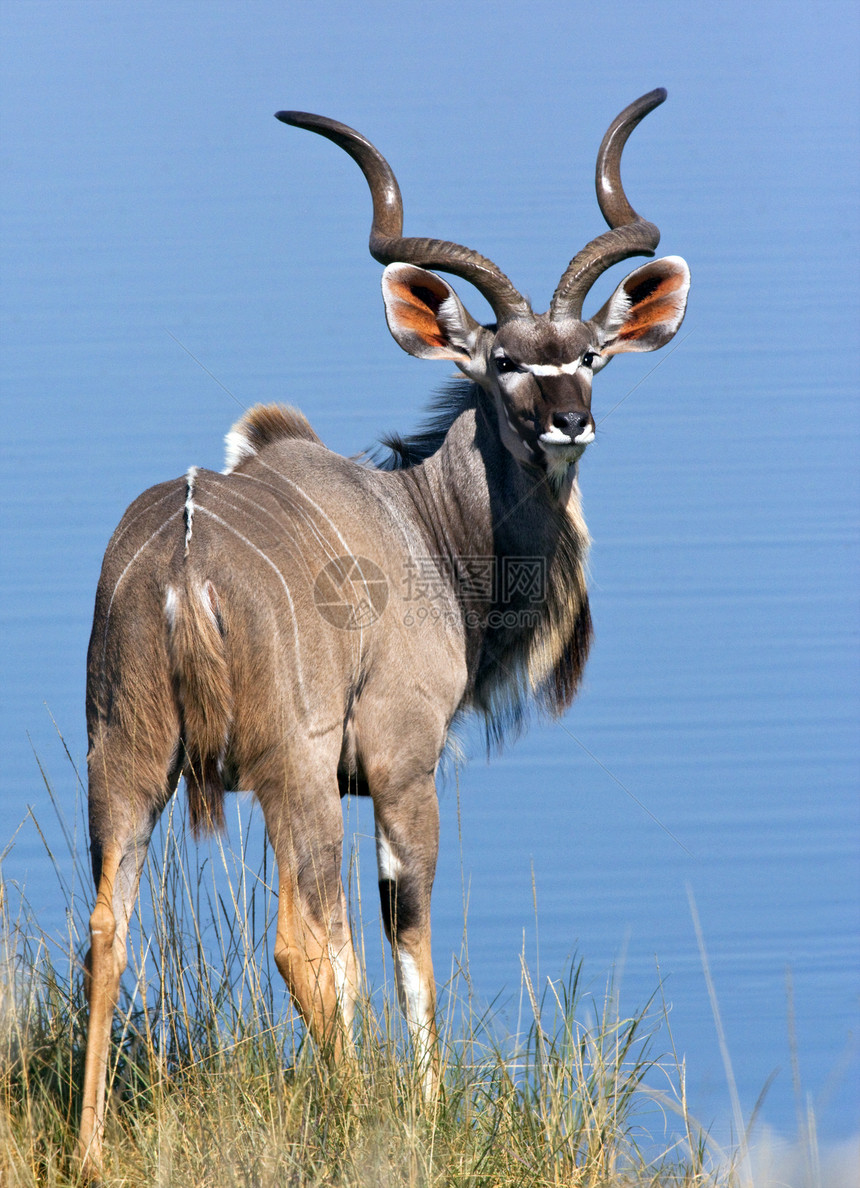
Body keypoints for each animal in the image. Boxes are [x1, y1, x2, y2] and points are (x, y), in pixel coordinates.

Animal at [77, 90, 688, 1168]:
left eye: (588, 356)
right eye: (502, 363)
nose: (568, 421)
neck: (423, 523)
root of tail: (183, 568)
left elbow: (357, 952)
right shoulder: (401, 764)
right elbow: (402, 933)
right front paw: (424, 1111)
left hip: (125, 758)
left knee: (108, 927)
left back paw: (89, 1154)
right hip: (292, 774)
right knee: (296, 938)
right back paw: (355, 1115)